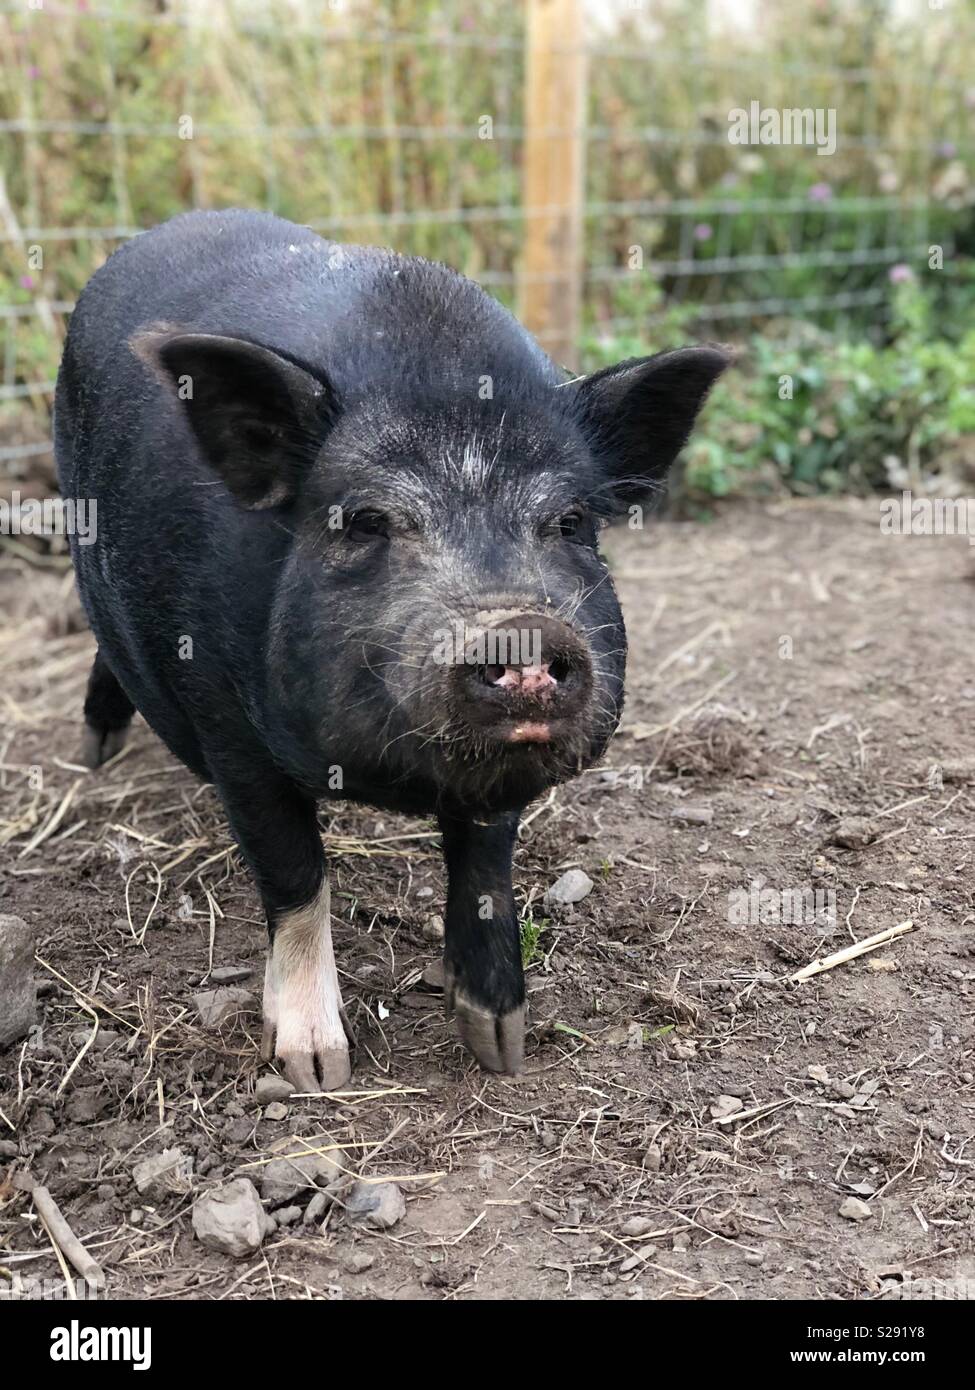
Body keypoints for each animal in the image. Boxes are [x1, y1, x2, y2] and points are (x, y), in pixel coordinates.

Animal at [55, 209, 728, 1090]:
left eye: (572, 522)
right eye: (366, 521)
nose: (519, 626)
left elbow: (483, 873)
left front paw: (501, 1046)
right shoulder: (230, 731)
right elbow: (295, 875)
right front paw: (316, 1070)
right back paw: (93, 759)